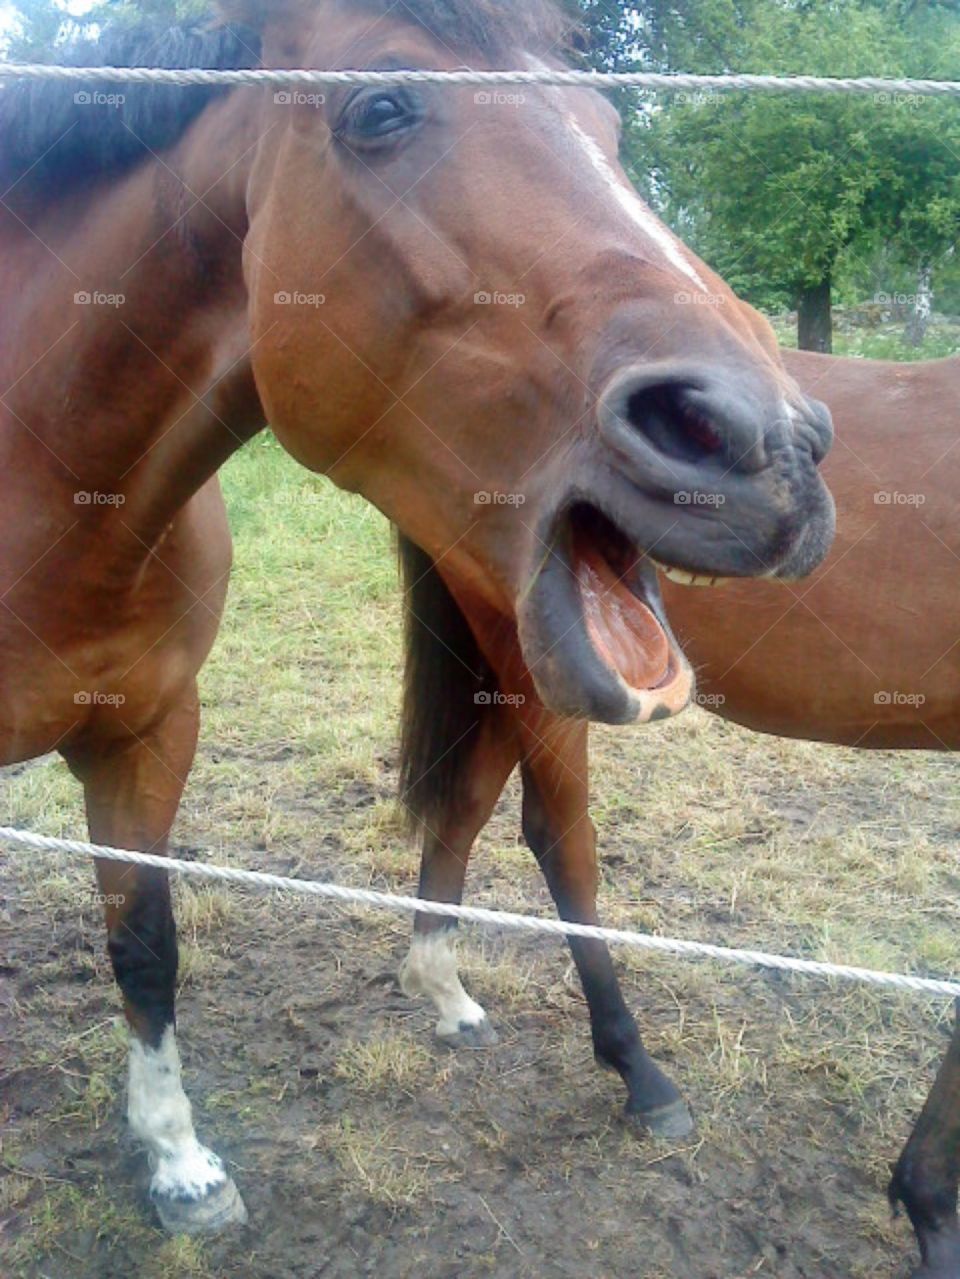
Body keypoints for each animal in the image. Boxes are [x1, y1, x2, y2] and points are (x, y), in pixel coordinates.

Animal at [0, 0, 834, 1237]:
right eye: (380, 109)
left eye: (605, 123)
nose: (769, 441)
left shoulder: (147, 735)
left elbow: (145, 945)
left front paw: (180, 1160)